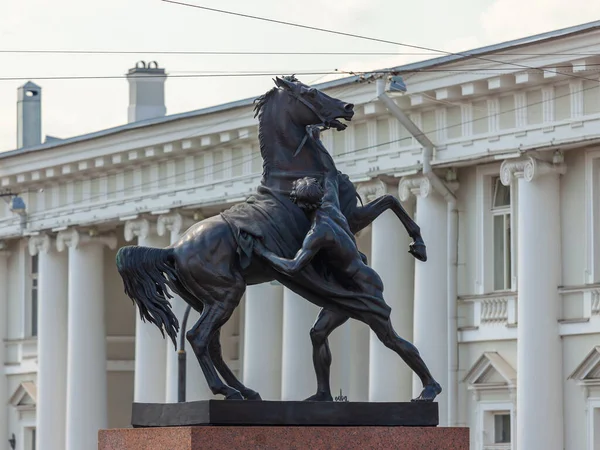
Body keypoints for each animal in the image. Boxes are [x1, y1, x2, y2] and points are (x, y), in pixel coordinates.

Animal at [116, 75, 440, 402]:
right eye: (311, 92)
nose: (348, 107)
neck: (292, 178)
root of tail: (172, 249)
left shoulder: (350, 216)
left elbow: (390, 200)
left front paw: (419, 245)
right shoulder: (347, 219)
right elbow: (390, 201)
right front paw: (418, 245)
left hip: (207, 300)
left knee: (214, 343)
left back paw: (245, 391)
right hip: (226, 294)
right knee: (198, 337)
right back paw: (228, 391)